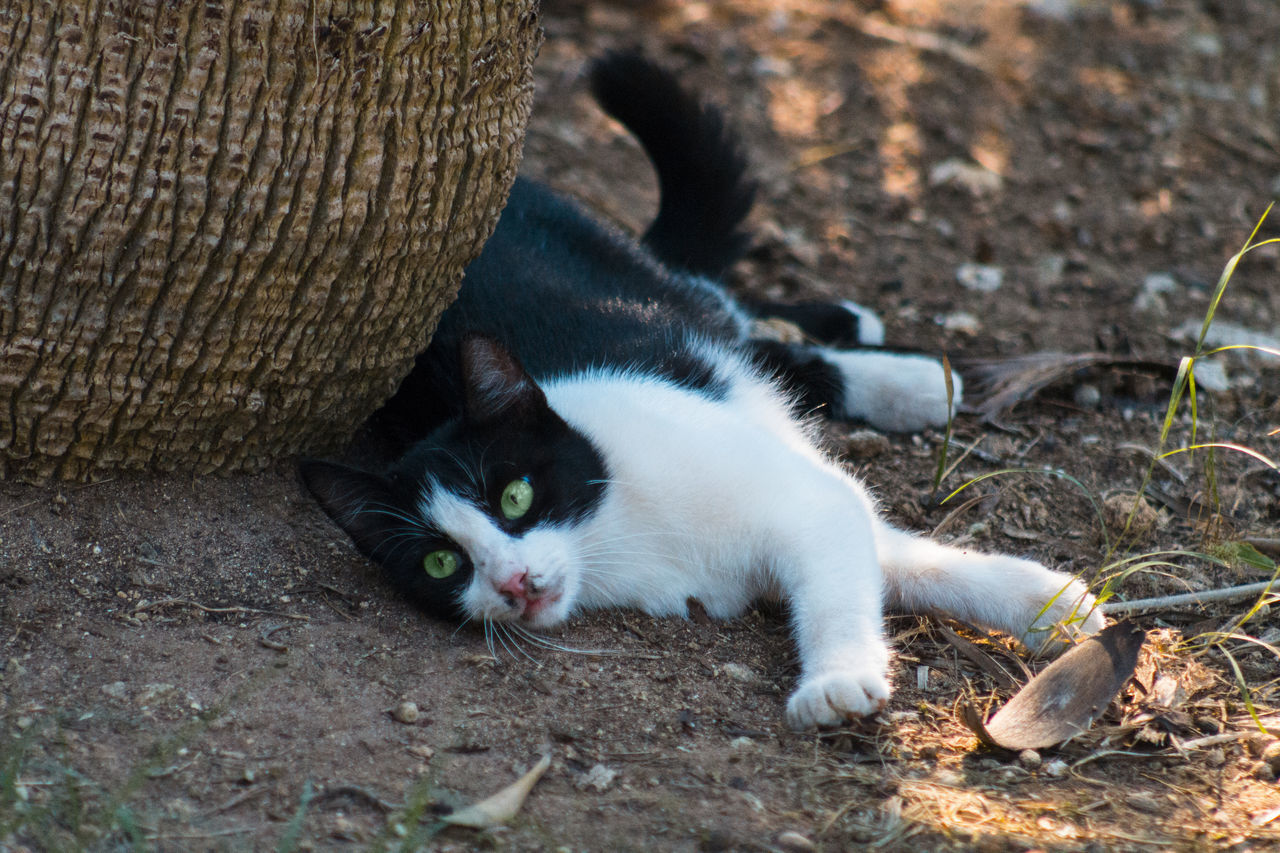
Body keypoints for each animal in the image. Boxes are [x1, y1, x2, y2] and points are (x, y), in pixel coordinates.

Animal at [296, 53, 1100, 727]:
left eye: (515, 496)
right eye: (442, 563)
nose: (515, 582)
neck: (617, 537)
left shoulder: (795, 496)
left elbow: (860, 570)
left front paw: (842, 675)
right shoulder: (810, 508)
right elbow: (897, 559)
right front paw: (1049, 606)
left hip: (638, 280)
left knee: (729, 310)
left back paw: (909, 373)